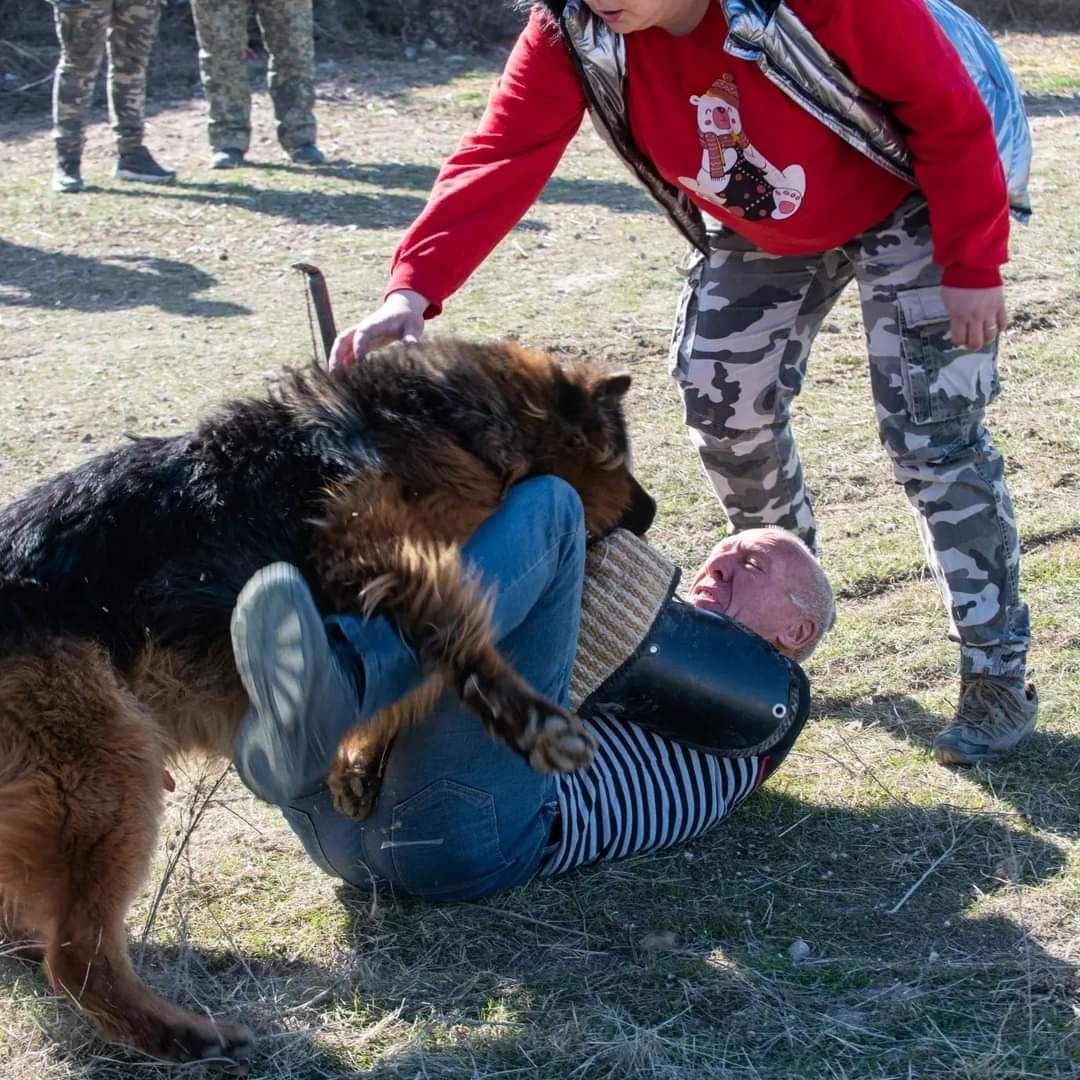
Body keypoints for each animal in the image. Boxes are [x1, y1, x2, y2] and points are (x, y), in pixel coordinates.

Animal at [0, 339, 652, 1071]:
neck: (449, 420)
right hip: (101, 780)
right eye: (617, 461)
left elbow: (400, 691)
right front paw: (524, 718)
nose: (652, 514)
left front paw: (357, 766)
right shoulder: (370, 546)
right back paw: (185, 1036)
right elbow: (453, 635)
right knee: (76, 958)